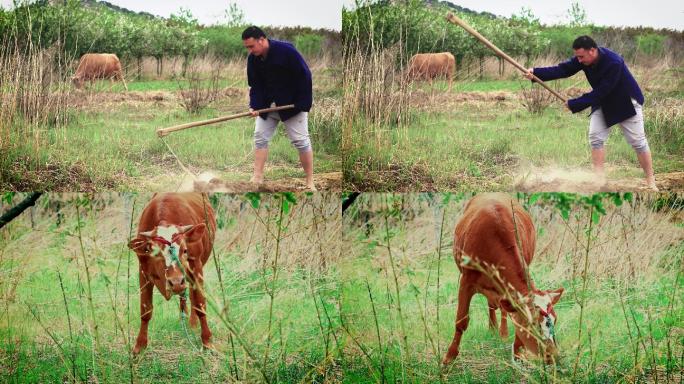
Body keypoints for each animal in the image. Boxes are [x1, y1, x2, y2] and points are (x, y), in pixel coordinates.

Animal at [127, 192, 215, 354]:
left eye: (185, 250)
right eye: (156, 253)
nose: (175, 282)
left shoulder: (196, 266)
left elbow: (200, 303)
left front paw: (207, 341)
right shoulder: (143, 270)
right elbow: (145, 310)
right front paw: (139, 346)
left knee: (191, 295)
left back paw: (192, 323)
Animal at [444, 194, 560, 364]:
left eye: (555, 319)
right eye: (533, 325)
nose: (553, 355)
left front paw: (517, 354)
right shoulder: (466, 281)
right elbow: (461, 321)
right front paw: (449, 357)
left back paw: (502, 332)